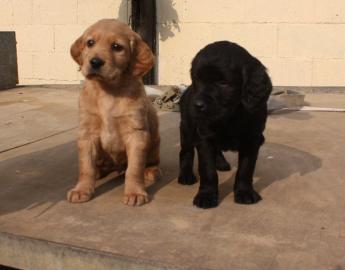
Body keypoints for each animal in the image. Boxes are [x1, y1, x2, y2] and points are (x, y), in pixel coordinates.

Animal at [67, 19, 160, 206]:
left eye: (117, 47)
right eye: (90, 43)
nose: (95, 62)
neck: (108, 90)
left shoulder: (136, 133)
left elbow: (134, 168)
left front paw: (135, 192)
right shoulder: (86, 133)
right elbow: (86, 166)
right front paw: (81, 189)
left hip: (154, 142)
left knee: (150, 163)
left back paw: (151, 171)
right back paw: (99, 171)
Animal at [177, 40, 272, 209]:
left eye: (222, 83)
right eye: (196, 79)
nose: (197, 105)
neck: (231, 117)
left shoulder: (252, 139)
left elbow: (245, 169)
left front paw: (245, 192)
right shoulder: (205, 137)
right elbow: (208, 170)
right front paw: (206, 195)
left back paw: (220, 162)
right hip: (187, 129)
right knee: (186, 152)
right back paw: (186, 175)